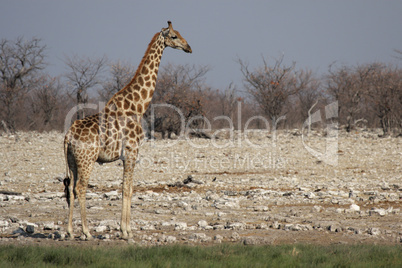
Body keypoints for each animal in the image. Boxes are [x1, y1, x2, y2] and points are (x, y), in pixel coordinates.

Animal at [63, 20, 192, 239]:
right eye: (174, 36)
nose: (189, 47)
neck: (138, 106)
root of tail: (68, 136)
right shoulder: (132, 151)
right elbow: (128, 189)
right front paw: (126, 231)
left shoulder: (126, 155)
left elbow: (126, 188)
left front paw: (125, 229)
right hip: (86, 160)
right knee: (80, 188)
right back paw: (87, 232)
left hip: (72, 161)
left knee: (71, 188)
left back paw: (70, 232)